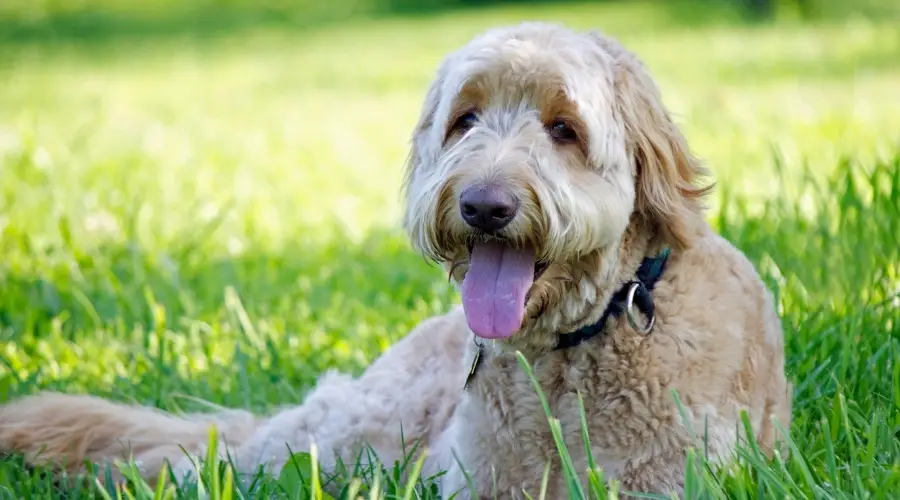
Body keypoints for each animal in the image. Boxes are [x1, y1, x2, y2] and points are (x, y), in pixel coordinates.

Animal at [0, 21, 792, 498]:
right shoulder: (473, 480)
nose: (483, 206)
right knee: (227, 453)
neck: (573, 348)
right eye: (465, 119)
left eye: (564, 128)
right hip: (351, 433)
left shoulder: (669, 477)